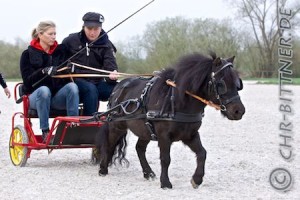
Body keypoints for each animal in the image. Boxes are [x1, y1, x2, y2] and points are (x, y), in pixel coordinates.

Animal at [95, 52, 245, 189]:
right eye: (221, 84)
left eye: (238, 83)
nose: (239, 111)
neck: (178, 101)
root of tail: (118, 87)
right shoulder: (164, 136)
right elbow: (165, 159)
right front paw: (165, 183)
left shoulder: (190, 135)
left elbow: (202, 153)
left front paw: (197, 179)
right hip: (117, 126)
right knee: (109, 144)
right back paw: (103, 169)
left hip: (145, 130)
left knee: (139, 148)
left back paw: (148, 173)